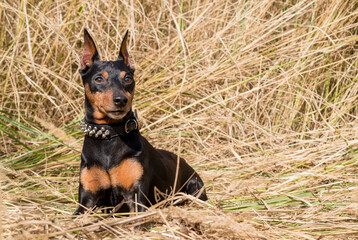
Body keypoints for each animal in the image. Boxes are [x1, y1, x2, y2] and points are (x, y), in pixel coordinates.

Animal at [72, 29, 207, 215]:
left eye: (128, 78)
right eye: (99, 79)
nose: (121, 100)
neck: (109, 136)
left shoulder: (136, 197)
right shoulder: (86, 200)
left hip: (195, 185)